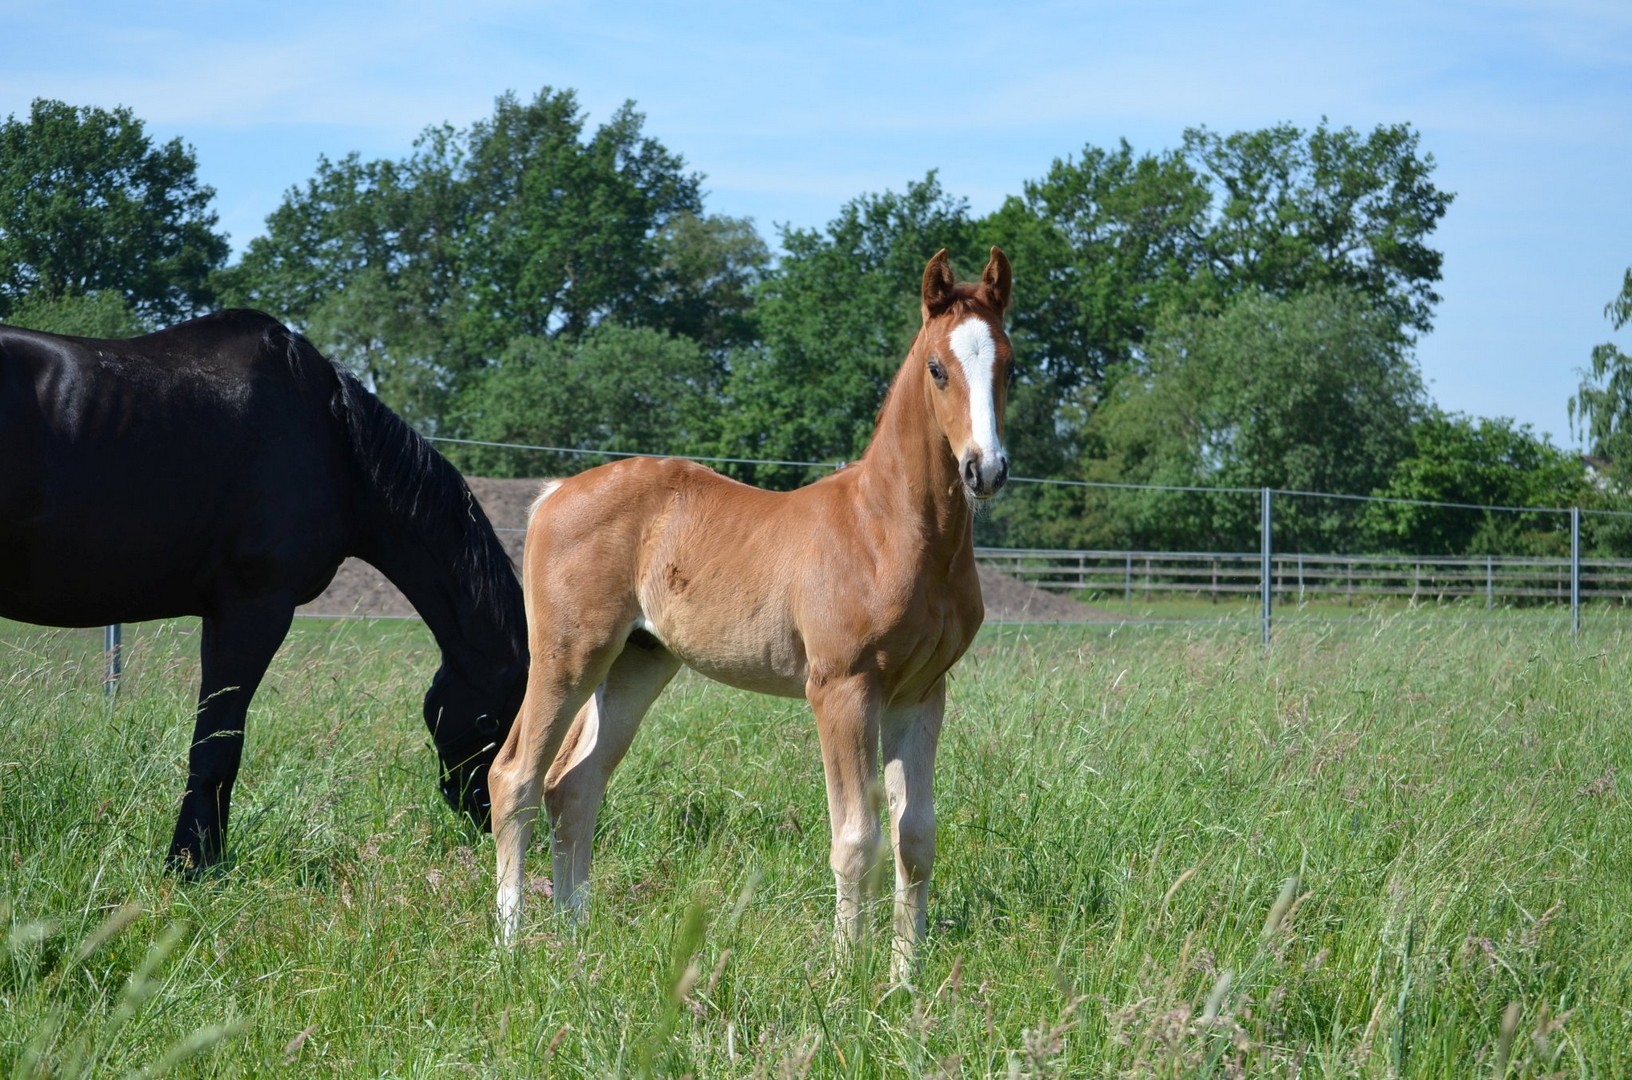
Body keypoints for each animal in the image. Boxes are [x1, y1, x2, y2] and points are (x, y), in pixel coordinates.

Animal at [0, 309, 529, 872]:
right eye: (491, 720)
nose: (489, 813)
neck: (335, 440)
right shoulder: (253, 610)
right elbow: (216, 747)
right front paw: (192, 864)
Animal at [489, 247, 1012, 981]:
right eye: (938, 367)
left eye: (1009, 364)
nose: (984, 470)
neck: (889, 528)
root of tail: (556, 491)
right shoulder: (842, 689)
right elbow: (857, 837)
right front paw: (843, 978)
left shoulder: (920, 693)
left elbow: (915, 837)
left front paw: (905, 980)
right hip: (569, 656)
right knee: (516, 776)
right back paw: (511, 944)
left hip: (637, 664)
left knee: (575, 786)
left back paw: (576, 937)